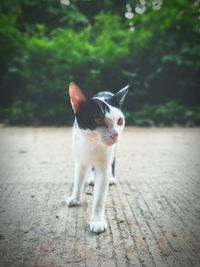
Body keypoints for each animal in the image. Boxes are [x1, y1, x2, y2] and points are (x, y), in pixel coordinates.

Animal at [67, 82, 128, 234]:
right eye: (99, 120)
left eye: (120, 121)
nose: (115, 135)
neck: (92, 143)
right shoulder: (80, 160)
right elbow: (78, 180)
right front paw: (75, 198)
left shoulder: (104, 166)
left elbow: (99, 198)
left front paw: (97, 221)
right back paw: (92, 178)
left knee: (113, 160)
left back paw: (111, 178)